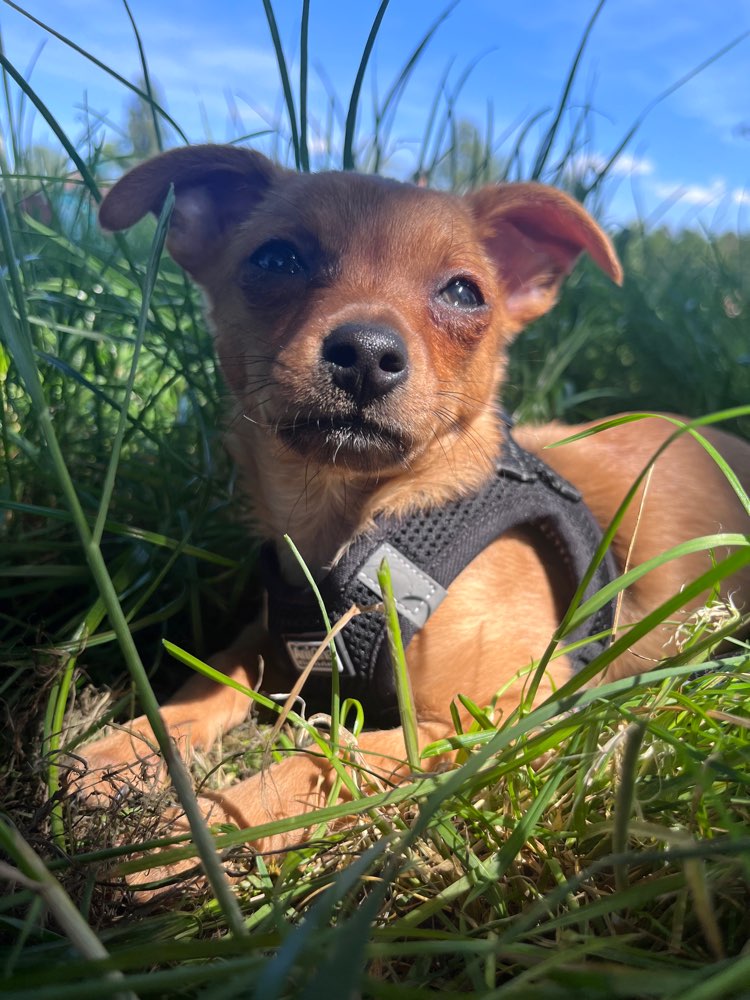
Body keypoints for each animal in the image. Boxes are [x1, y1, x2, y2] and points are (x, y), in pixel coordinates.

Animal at [70, 145, 750, 872]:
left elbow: (329, 759)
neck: (369, 523)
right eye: (276, 260)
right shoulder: (273, 640)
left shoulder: (497, 717)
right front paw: (115, 754)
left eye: (464, 293)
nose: (367, 353)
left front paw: (185, 841)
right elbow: (204, 687)